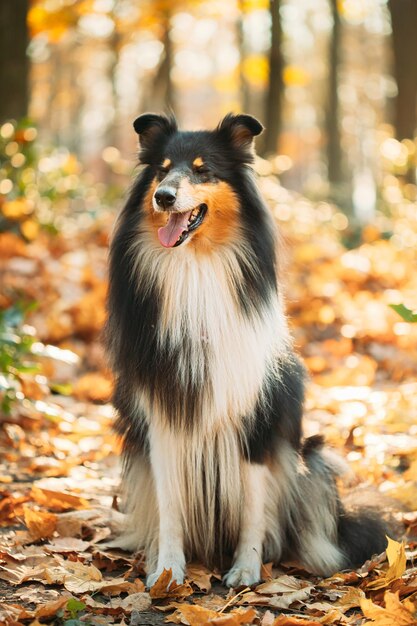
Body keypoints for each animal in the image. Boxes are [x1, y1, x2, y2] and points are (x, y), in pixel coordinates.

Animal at [105, 113, 386, 584]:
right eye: (162, 169)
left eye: (203, 171)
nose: (163, 197)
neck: (196, 268)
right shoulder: (160, 419)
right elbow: (169, 506)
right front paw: (167, 571)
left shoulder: (256, 417)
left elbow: (255, 504)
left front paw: (246, 569)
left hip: (313, 459)